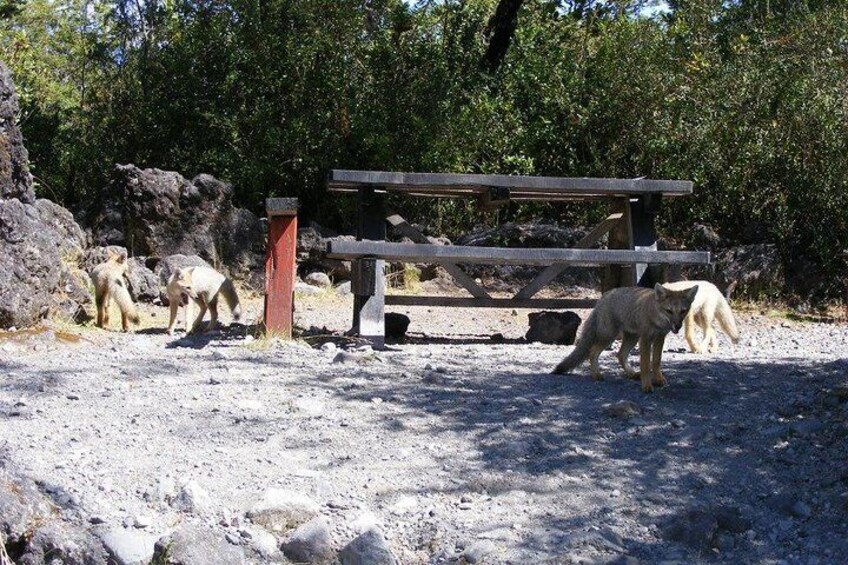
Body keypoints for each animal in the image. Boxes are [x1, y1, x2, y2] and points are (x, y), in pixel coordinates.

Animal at [552, 282, 700, 392]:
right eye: (669, 311)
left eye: (683, 311)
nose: (677, 326)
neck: (655, 316)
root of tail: (604, 296)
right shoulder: (645, 339)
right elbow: (645, 365)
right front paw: (646, 386)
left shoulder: (660, 337)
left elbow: (656, 362)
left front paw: (658, 379)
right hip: (610, 336)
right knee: (593, 352)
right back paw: (596, 375)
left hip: (631, 338)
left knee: (620, 355)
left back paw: (632, 374)